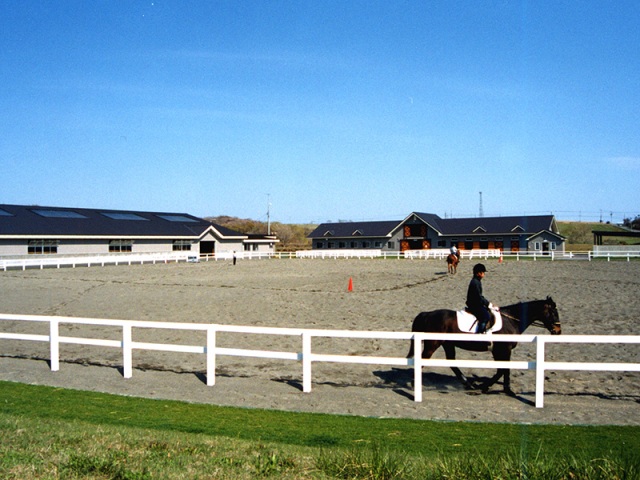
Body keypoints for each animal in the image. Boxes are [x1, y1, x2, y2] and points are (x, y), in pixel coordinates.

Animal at [410, 298, 560, 396]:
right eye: (554, 313)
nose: (558, 331)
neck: (510, 320)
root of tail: (427, 314)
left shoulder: (498, 351)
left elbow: (502, 369)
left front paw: (500, 388)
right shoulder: (504, 350)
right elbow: (502, 370)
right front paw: (490, 387)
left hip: (447, 344)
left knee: (452, 363)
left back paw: (468, 384)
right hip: (433, 343)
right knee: (423, 360)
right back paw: (414, 383)